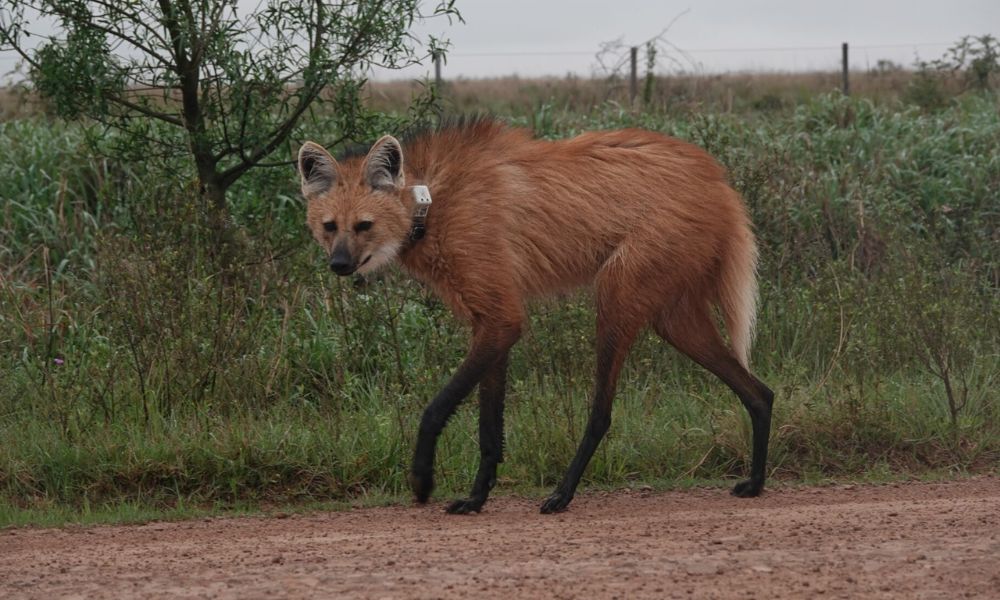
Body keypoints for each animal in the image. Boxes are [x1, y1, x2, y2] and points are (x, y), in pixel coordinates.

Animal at [296, 118, 772, 516]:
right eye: (329, 226)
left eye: (364, 225)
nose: (339, 265)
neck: (431, 204)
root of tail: (719, 180)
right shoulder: (490, 322)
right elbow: (489, 429)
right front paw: (475, 499)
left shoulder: (502, 319)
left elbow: (436, 409)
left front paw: (422, 480)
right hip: (673, 319)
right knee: (760, 392)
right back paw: (755, 482)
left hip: (617, 296)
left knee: (602, 413)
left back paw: (562, 495)